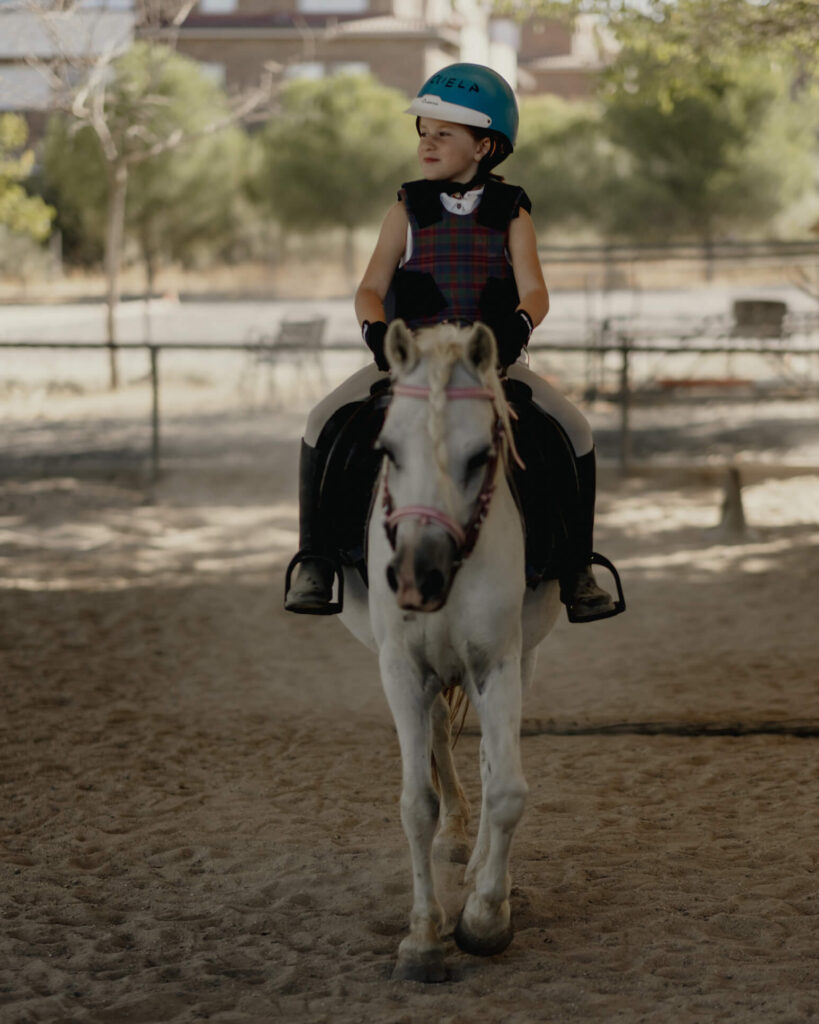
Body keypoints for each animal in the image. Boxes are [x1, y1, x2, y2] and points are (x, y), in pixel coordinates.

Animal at [337, 319, 562, 982]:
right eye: (388, 452)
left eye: (481, 456)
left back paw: (482, 865)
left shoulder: (498, 663)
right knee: (440, 731)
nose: (419, 576)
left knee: (489, 758)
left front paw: (486, 917)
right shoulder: (401, 669)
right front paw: (422, 940)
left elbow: (507, 788)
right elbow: (417, 804)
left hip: (522, 658)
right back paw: (457, 837)